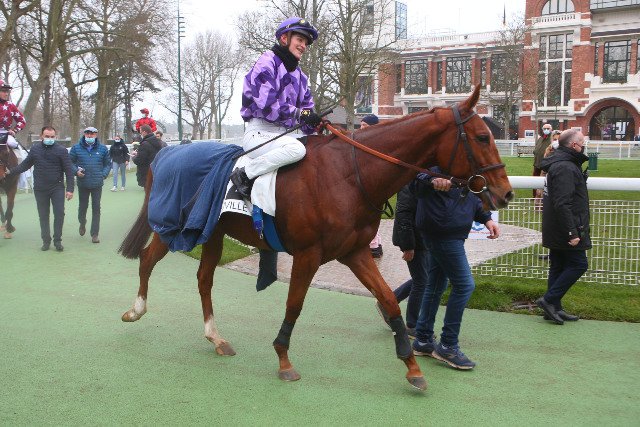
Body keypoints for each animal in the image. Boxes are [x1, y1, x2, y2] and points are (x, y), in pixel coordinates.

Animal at [118, 85, 514, 391]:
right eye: (482, 137)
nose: (505, 193)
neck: (349, 174)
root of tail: (167, 153)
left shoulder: (355, 251)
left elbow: (387, 300)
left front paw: (412, 366)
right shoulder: (308, 254)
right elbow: (295, 303)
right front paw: (283, 359)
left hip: (213, 232)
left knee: (203, 279)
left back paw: (216, 337)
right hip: (175, 226)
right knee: (148, 259)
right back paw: (136, 310)